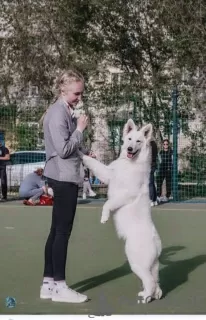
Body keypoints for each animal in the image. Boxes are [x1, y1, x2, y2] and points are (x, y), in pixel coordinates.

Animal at [80, 119, 163, 302]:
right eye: (129, 139)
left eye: (138, 141)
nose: (130, 149)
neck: (131, 164)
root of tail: (156, 243)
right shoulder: (108, 174)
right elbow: (93, 162)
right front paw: (80, 153)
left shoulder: (126, 194)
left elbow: (108, 204)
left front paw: (104, 217)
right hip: (150, 266)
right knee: (156, 284)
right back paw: (151, 295)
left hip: (136, 263)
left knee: (149, 281)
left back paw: (145, 297)